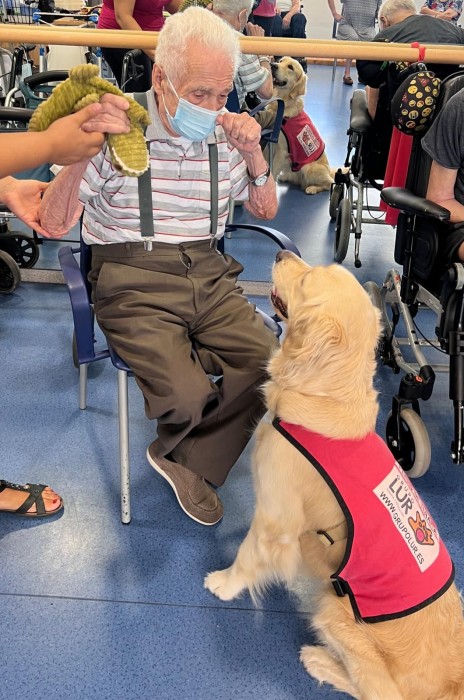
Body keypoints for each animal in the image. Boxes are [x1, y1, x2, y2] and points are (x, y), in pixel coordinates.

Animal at [205, 251, 464, 699]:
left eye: (306, 280)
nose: (280, 253)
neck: (323, 394)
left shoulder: (274, 520)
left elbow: (248, 555)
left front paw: (224, 583)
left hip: (335, 608)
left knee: (374, 691)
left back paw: (319, 660)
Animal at [254, 57, 338, 195]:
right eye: (280, 61)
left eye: (290, 67)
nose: (273, 65)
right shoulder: (271, 145)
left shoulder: (281, 150)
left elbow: (273, 169)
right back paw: (286, 177)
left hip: (308, 168)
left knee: (330, 183)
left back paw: (312, 188)